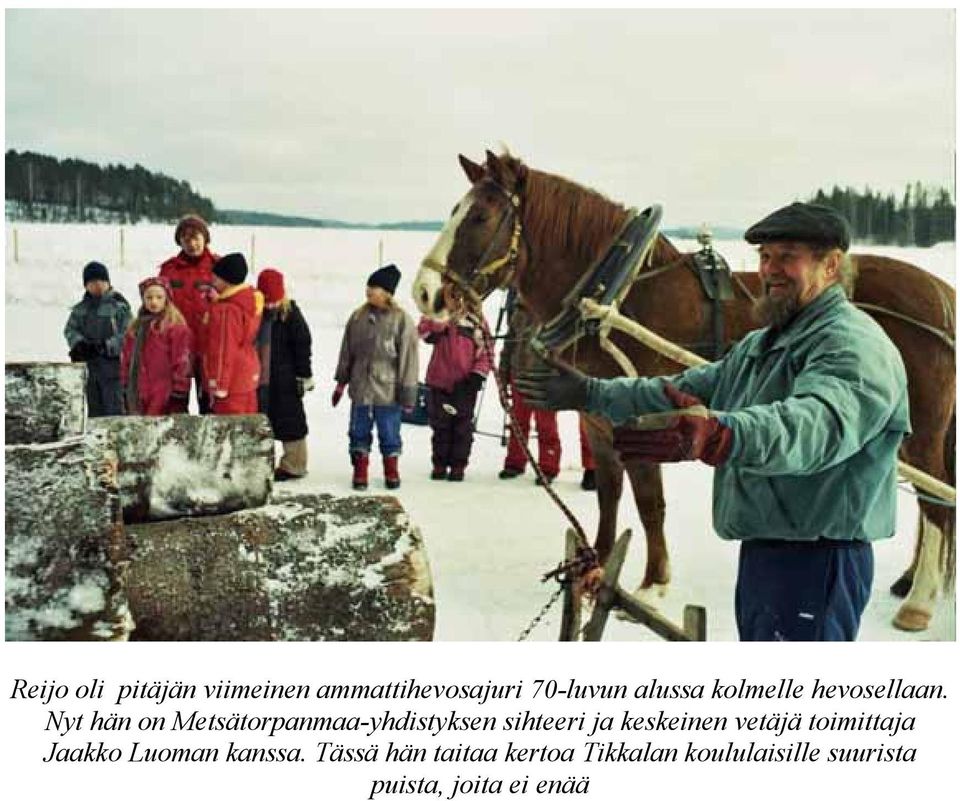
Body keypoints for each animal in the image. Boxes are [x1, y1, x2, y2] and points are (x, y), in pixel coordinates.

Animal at [412, 150, 952, 636]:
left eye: (480, 216)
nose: (424, 292)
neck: (618, 294)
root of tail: (941, 292)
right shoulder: (597, 421)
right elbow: (609, 493)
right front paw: (597, 562)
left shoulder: (640, 424)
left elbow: (650, 502)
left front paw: (652, 586)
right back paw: (910, 583)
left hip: (922, 432)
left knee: (936, 503)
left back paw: (919, 602)